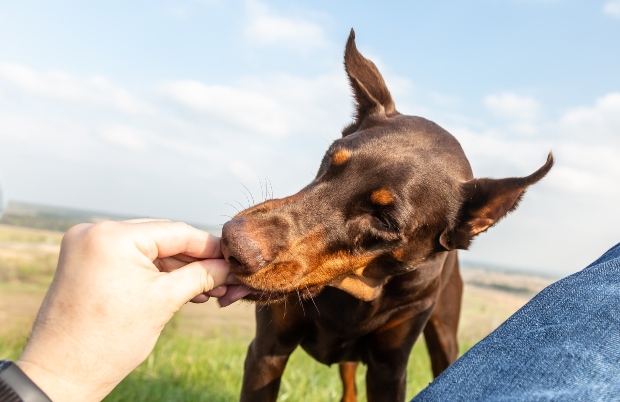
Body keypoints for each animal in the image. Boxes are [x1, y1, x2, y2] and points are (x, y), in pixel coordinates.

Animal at [218, 29, 552, 402]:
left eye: (384, 220)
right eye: (330, 159)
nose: (233, 243)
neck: (356, 290)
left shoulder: (389, 369)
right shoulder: (267, 350)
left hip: (444, 333)